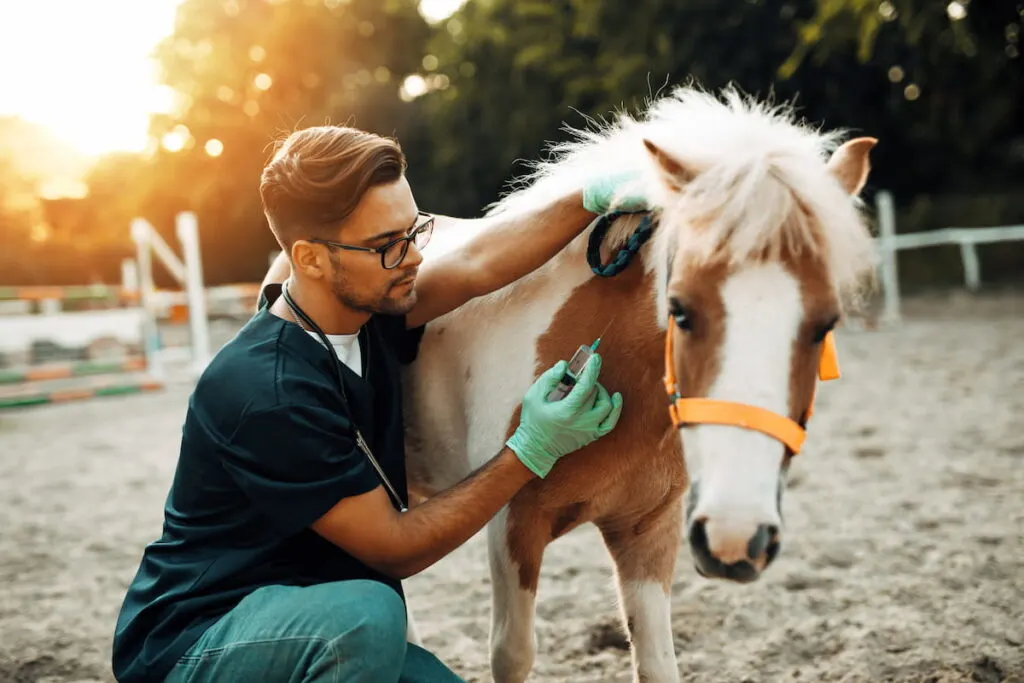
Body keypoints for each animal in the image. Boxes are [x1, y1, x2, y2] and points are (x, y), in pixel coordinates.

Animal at [399, 87, 880, 683]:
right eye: (680, 310)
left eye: (825, 325)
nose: (735, 534)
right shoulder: (511, 527)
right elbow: (512, 654)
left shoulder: (650, 531)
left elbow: (657, 663)